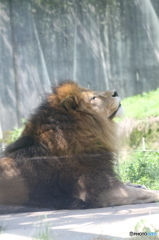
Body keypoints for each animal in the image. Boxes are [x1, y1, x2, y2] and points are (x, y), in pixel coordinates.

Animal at [0, 80, 159, 208]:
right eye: (94, 98)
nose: (115, 92)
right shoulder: (98, 192)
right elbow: (140, 193)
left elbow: (133, 186)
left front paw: (139, 184)